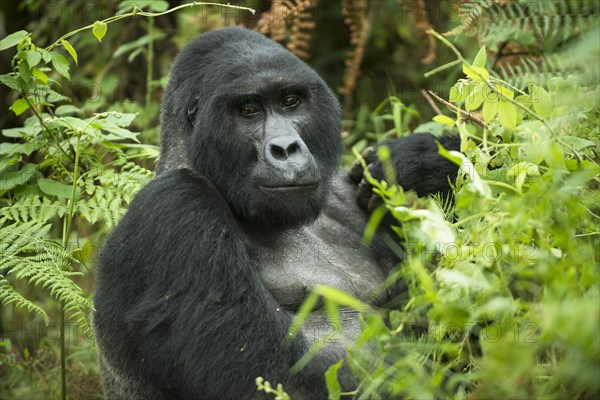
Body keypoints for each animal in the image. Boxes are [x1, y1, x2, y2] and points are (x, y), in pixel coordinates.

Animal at [92, 26, 460, 398]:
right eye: (249, 109)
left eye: (290, 101)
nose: (286, 149)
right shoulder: (175, 209)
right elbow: (276, 379)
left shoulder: (355, 197)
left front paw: (422, 160)